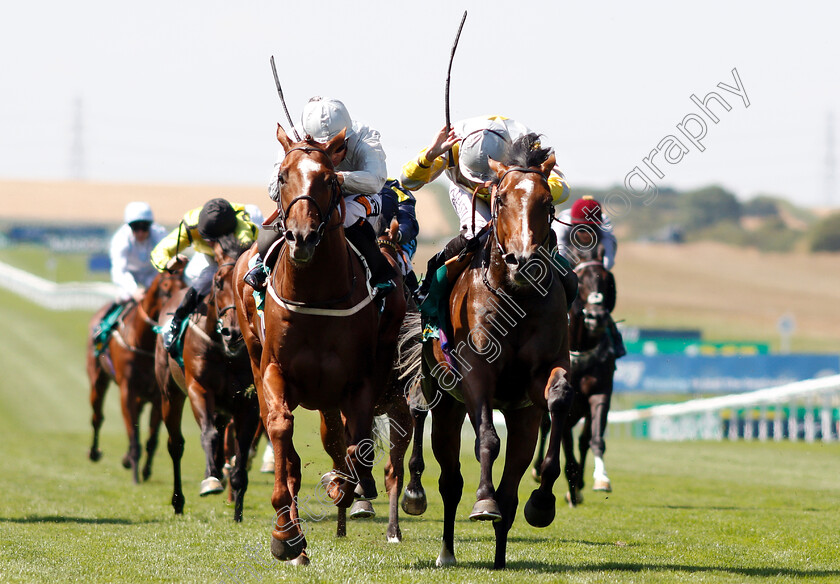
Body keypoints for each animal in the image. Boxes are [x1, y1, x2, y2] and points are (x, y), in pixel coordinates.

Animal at [85, 264, 184, 484]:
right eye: (166, 288)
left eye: (185, 286)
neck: (143, 341)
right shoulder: (127, 390)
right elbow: (133, 434)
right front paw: (135, 474)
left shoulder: (157, 395)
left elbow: (151, 439)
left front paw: (145, 470)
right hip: (98, 379)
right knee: (97, 416)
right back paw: (94, 452)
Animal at [156, 240, 260, 524]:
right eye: (218, 282)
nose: (233, 333)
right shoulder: (199, 389)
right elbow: (209, 434)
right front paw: (211, 481)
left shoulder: (249, 401)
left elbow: (241, 448)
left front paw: (237, 509)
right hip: (170, 394)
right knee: (176, 444)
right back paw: (179, 500)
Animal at [233, 125, 406, 564]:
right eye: (282, 177)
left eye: (329, 180)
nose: (302, 237)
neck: (314, 297)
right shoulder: (274, 370)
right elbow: (281, 429)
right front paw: (285, 535)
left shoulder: (358, 382)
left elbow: (356, 446)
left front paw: (343, 486)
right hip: (257, 360)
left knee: (342, 441)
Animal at [398, 135, 572, 568]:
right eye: (501, 199)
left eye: (547, 202)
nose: (523, 261)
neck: (516, 295)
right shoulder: (476, 373)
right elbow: (487, 440)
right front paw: (483, 502)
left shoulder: (542, 376)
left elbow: (559, 398)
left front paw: (542, 500)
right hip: (446, 402)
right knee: (446, 474)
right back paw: (440, 538)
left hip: (522, 417)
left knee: (510, 488)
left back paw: (500, 556)